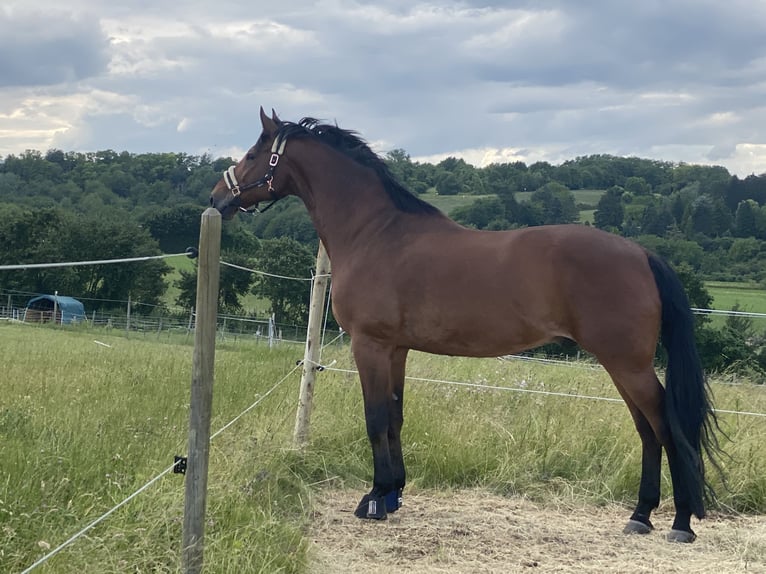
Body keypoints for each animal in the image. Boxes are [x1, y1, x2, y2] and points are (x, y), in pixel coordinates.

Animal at [210, 107, 722, 543]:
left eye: (254, 153)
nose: (217, 196)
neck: (376, 233)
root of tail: (642, 254)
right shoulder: (396, 349)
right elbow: (394, 417)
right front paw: (393, 494)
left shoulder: (369, 346)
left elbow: (375, 419)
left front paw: (373, 499)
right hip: (622, 365)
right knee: (646, 430)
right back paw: (640, 515)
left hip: (627, 364)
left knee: (667, 427)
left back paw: (680, 522)